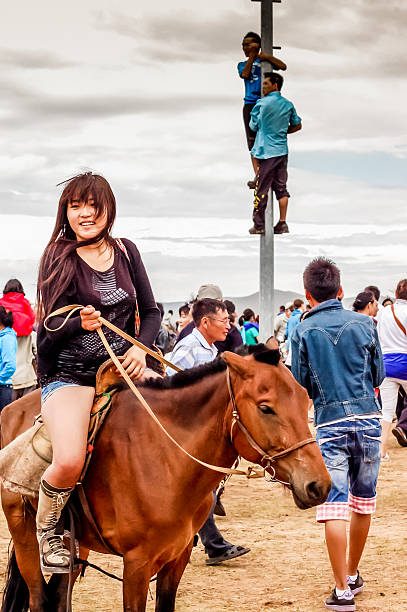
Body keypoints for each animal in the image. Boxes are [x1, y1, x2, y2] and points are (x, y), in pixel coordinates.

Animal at [0, 346, 332, 612]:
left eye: (305, 400)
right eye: (266, 407)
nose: (318, 485)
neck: (165, 457)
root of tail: (12, 410)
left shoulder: (177, 557)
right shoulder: (137, 565)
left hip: (76, 544)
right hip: (26, 535)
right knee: (39, 598)